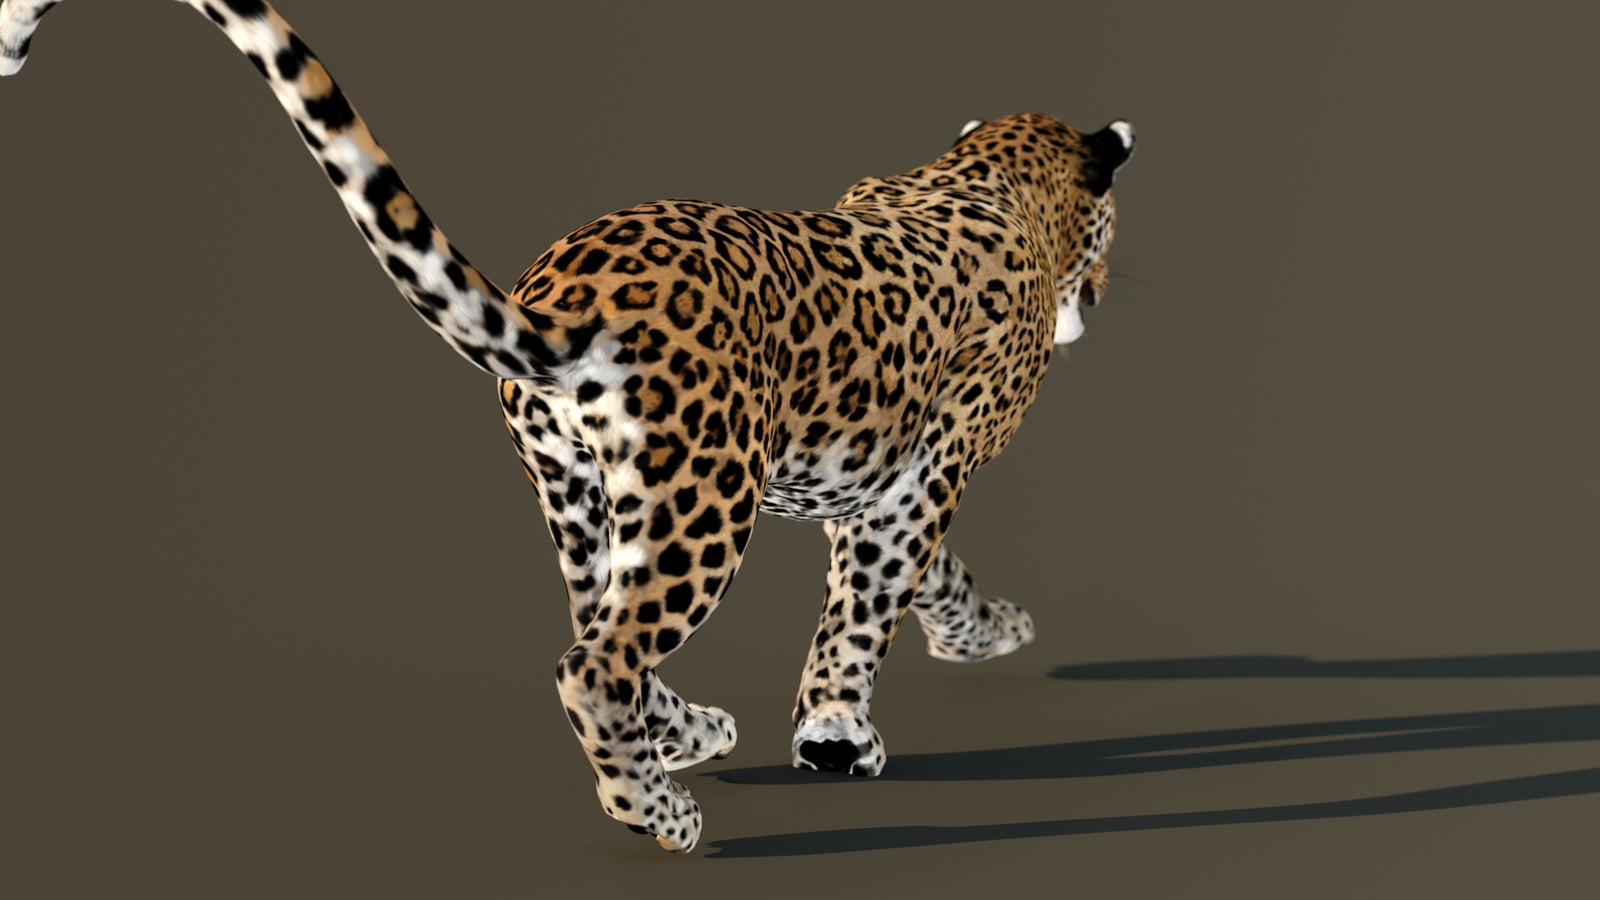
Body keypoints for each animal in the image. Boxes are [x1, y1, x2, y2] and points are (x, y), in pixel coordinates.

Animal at [1, 0, 1134, 853]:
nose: (1101, 297)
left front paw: (985, 631)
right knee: (592, 664)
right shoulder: (916, 479)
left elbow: (925, 575)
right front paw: (836, 735)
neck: (989, 181)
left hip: (586, 496)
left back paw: (687, 733)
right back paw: (665, 816)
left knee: (599, 636)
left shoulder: (865, 483)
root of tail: (563, 292)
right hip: (704, 502)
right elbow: (864, 604)